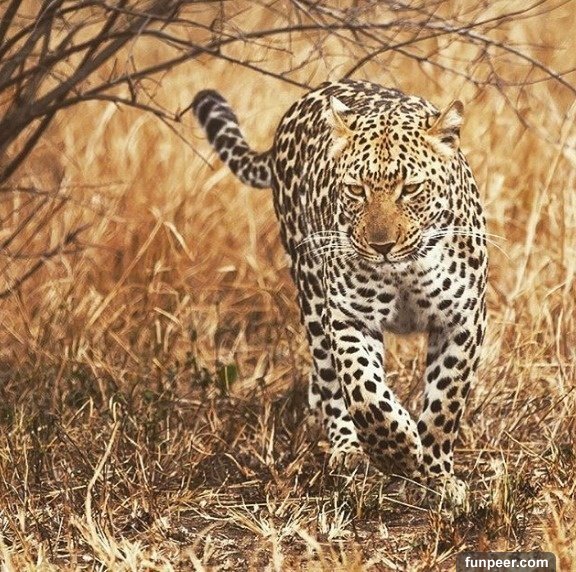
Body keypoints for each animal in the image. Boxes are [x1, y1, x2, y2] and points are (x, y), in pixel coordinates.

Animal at [192, 79, 487, 507]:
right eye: (355, 189)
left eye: (411, 188)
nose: (382, 246)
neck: (407, 271)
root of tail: (306, 98)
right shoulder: (350, 318)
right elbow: (365, 392)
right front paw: (397, 452)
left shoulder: (463, 321)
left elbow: (444, 403)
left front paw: (438, 476)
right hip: (313, 295)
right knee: (332, 381)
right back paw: (347, 448)